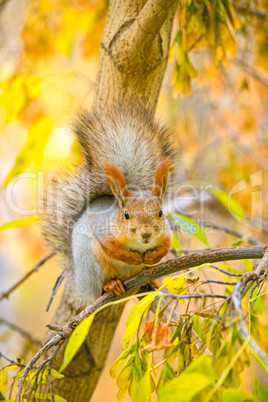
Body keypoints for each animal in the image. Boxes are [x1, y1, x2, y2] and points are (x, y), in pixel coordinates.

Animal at [42, 102, 178, 306]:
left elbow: (165, 247)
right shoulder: (102, 227)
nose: (146, 234)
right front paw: (131, 257)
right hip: (91, 264)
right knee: (99, 286)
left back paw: (150, 282)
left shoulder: (166, 233)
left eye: (161, 212)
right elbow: (111, 247)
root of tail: (79, 284)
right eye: (126, 214)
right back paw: (111, 285)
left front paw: (153, 256)